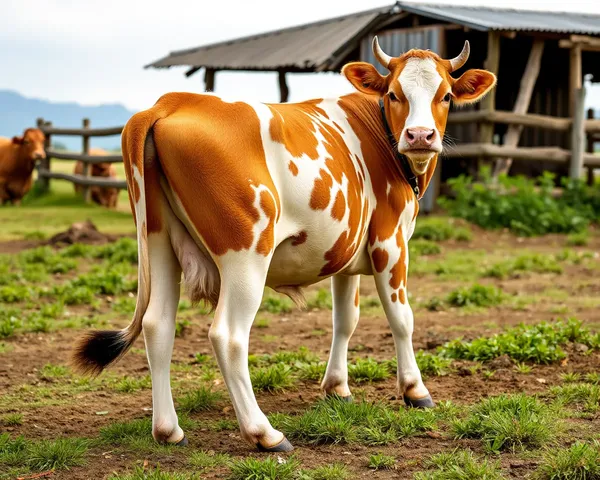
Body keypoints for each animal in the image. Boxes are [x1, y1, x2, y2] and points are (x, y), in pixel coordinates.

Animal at [74, 38, 496, 454]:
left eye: (445, 95)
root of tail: (171, 102)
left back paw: (168, 430)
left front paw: (337, 387)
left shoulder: (345, 251)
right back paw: (264, 433)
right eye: (394, 94)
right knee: (228, 336)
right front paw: (414, 390)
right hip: (246, 253)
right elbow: (402, 318)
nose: (420, 136)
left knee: (157, 324)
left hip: (159, 241)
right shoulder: (389, 244)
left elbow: (345, 319)